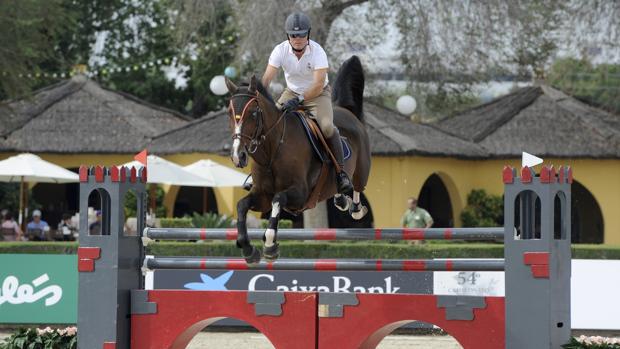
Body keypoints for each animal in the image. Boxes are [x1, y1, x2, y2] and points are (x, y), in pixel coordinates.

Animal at [225, 55, 370, 260]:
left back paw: (354, 206)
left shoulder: (300, 193)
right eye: (229, 113)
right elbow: (241, 205)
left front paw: (270, 244)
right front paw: (247, 248)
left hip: (362, 169)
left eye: (253, 113)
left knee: (357, 185)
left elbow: (278, 199)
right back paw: (341, 200)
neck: (273, 151)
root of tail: (345, 110)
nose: (238, 156)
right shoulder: (261, 195)